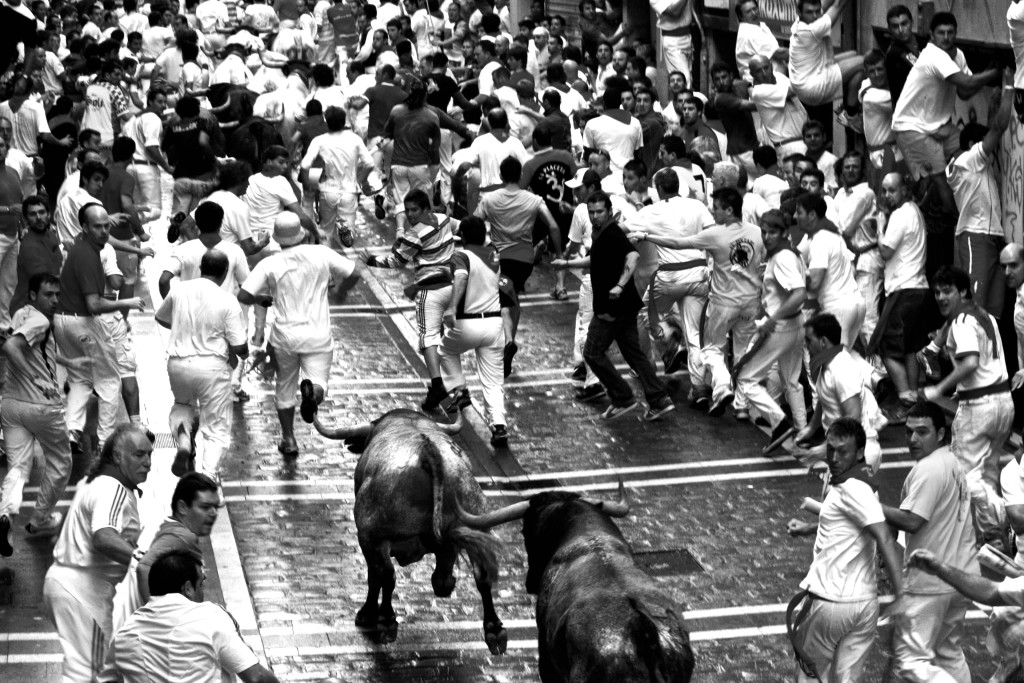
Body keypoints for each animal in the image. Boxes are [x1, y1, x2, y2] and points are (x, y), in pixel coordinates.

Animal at [309, 409, 505, 655]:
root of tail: (427, 454)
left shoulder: (371, 541)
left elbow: (375, 577)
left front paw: (367, 614)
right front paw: (445, 581)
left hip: (372, 533)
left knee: (386, 574)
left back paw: (386, 620)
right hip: (477, 520)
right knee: (482, 574)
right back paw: (493, 629)